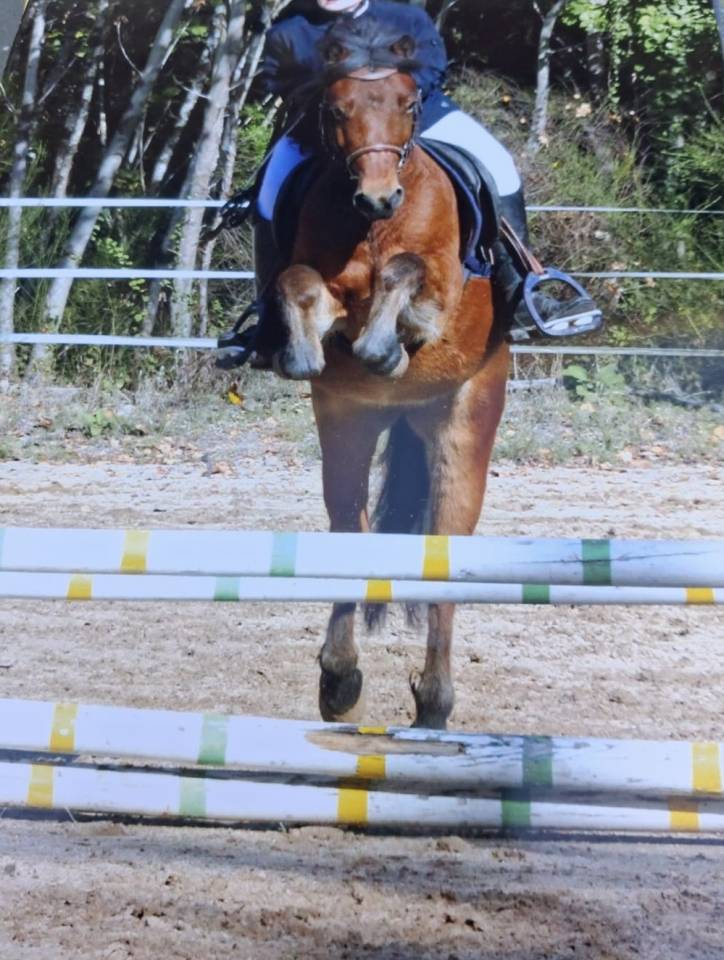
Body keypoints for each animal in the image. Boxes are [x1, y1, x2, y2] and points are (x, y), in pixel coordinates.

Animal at [269, 29, 509, 729]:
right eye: (336, 107)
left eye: (409, 102)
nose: (378, 196)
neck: (372, 227)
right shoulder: (324, 288)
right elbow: (298, 282)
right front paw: (303, 354)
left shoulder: (442, 292)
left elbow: (407, 274)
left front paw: (385, 347)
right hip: (347, 424)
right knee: (352, 529)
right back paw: (339, 678)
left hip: (465, 422)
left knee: (445, 548)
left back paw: (434, 701)